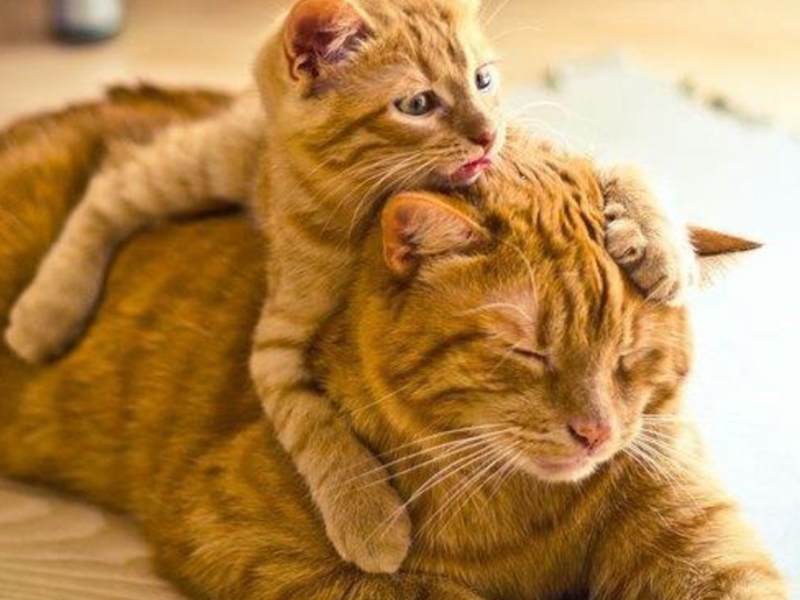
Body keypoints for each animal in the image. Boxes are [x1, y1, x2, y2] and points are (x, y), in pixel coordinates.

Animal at [0, 88, 783, 600]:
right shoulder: (238, 534)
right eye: (528, 351)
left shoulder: (697, 533)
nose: (594, 433)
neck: (531, 511)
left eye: (628, 359)